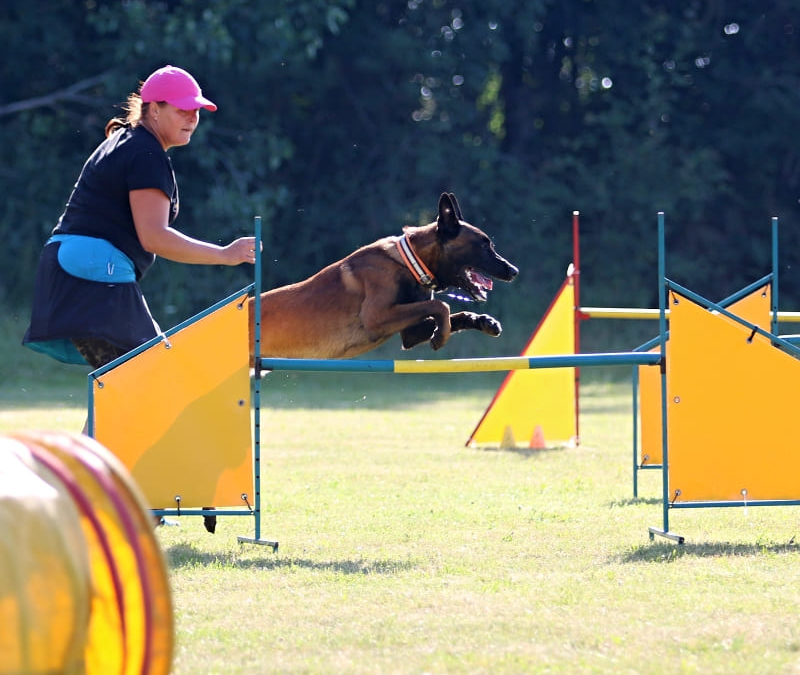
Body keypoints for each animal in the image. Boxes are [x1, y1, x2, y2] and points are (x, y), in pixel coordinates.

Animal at [250, 193, 520, 362]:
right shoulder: (376, 316)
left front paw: (484, 321)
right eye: (484, 246)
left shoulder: (409, 333)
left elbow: (451, 313)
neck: (411, 264)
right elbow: (441, 305)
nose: (514, 271)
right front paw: (441, 336)